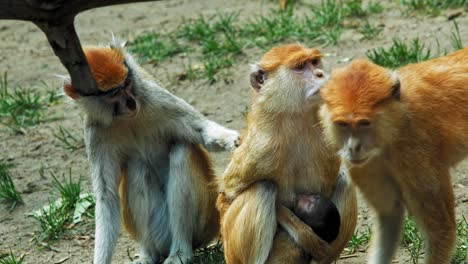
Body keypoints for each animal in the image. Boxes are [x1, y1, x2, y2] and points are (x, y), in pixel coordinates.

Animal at [61, 37, 241, 264]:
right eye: (113, 93)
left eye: (127, 84)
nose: (130, 103)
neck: (126, 120)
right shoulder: (95, 133)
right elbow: (107, 196)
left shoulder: (154, 97)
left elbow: (201, 131)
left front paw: (231, 141)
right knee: (136, 168)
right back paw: (149, 255)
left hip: (206, 220)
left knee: (181, 152)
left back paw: (180, 252)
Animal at [218, 44, 356, 264]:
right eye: (300, 67)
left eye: (315, 62)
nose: (320, 73)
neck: (294, 118)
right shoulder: (262, 147)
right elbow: (228, 192)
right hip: (233, 250)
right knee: (263, 188)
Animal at [320, 48, 468, 264]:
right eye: (342, 124)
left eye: (364, 123)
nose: (353, 148)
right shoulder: (365, 165)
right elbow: (389, 215)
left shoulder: (416, 155)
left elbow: (441, 229)